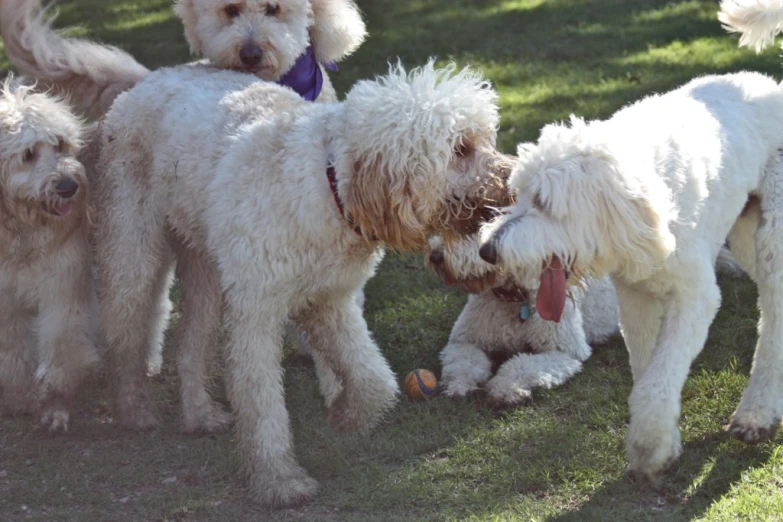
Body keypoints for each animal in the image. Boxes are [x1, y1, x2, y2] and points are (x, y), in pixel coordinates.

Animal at [0, 78, 99, 430]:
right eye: (28, 154)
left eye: (60, 145)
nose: (69, 187)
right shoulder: (5, 298)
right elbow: (11, 350)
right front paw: (18, 395)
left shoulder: (63, 283)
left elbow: (61, 343)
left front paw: (55, 400)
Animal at [428, 235, 620, 402]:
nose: (435, 256)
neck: (513, 297)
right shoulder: (463, 340)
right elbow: (463, 361)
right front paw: (459, 384)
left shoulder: (565, 350)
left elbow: (524, 364)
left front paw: (506, 387)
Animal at [480, 71, 783, 482]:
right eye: (519, 195)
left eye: (543, 202)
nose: (487, 250)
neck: (644, 204)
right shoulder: (636, 297)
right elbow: (646, 370)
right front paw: (664, 442)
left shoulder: (694, 297)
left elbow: (659, 378)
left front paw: (649, 448)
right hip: (744, 232)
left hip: (772, 237)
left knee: (773, 319)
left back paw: (756, 412)